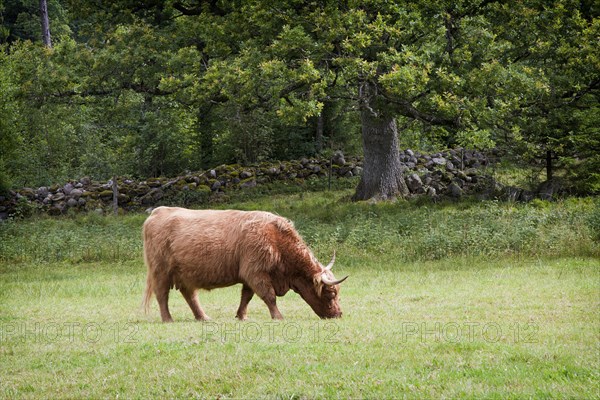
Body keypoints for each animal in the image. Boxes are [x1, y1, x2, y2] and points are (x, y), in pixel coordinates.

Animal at [142, 208, 346, 320]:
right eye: (330, 293)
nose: (338, 314)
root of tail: (157, 212)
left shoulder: (250, 276)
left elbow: (246, 297)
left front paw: (241, 316)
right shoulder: (255, 272)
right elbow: (269, 296)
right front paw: (278, 317)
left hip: (185, 274)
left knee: (190, 295)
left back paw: (203, 317)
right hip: (161, 271)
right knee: (162, 294)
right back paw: (168, 319)